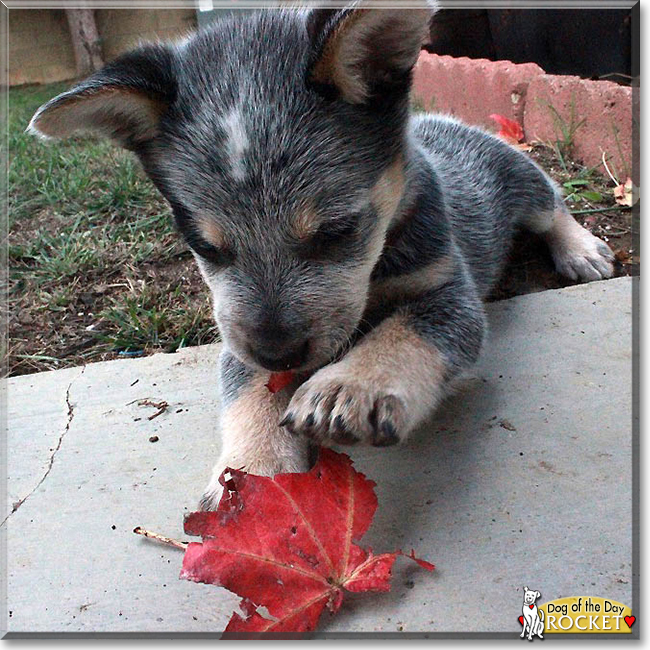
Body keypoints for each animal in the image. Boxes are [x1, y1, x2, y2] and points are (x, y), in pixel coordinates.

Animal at [27, 6, 612, 512]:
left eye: (337, 231)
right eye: (206, 246)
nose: (280, 354)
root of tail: (444, 122)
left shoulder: (445, 289)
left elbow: (408, 331)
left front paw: (351, 384)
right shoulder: (237, 334)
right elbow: (249, 395)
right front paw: (255, 473)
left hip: (518, 180)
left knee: (552, 202)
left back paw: (582, 250)